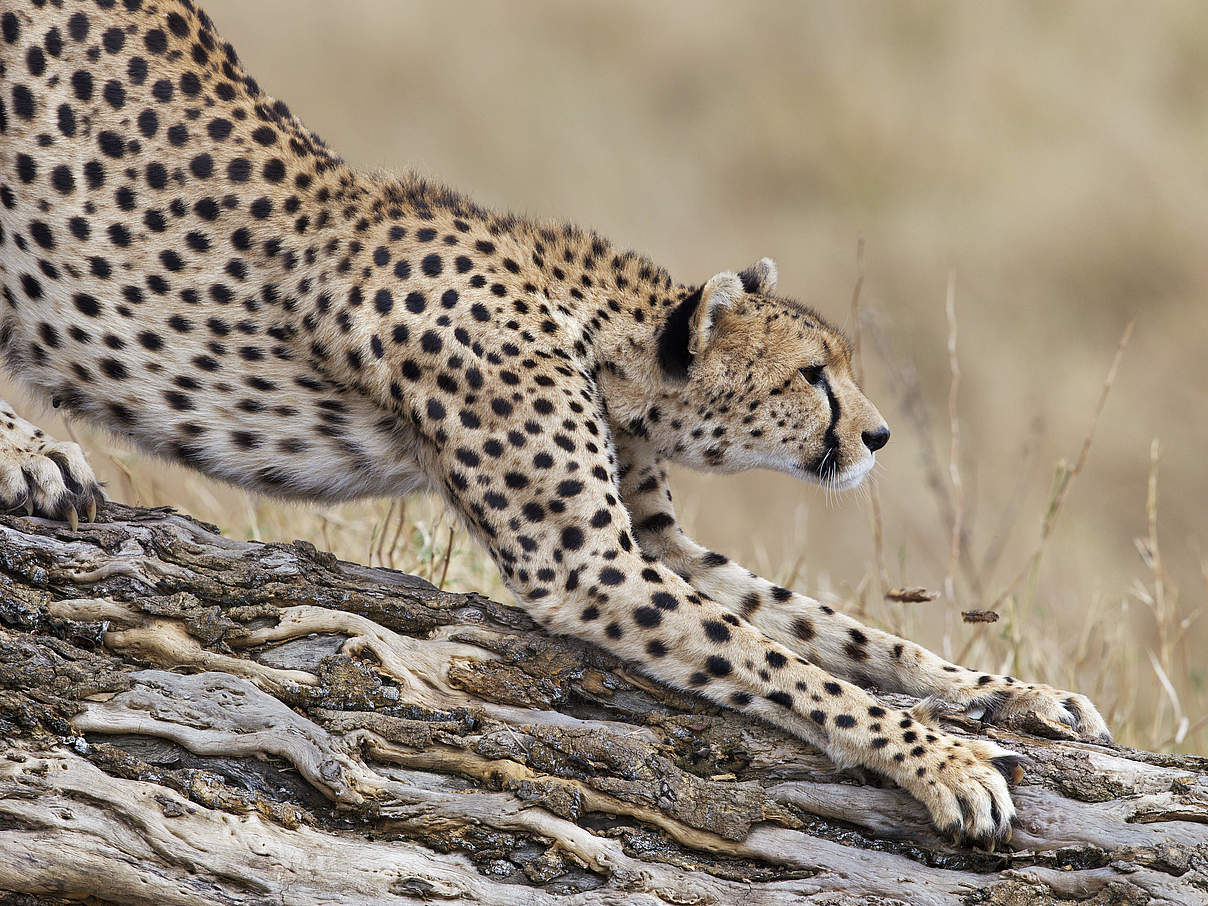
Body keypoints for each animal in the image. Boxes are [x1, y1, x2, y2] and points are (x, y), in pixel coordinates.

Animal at [2, 1, 1111, 850]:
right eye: (813, 377)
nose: (878, 439)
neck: (596, 334)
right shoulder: (590, 564)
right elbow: (782, 662)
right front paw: (942, 759)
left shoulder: (653, 540)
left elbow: (826, 626)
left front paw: (1009, 694)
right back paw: (34, 455)